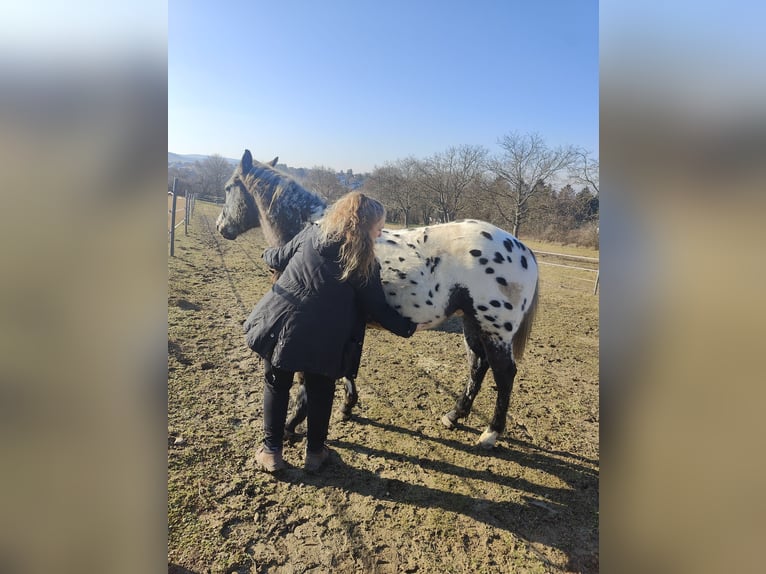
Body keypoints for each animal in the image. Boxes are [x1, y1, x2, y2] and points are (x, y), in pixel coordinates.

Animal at [216, 152, 540, 450]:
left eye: (229, 187)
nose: (221, 228)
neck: (322, 228)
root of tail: (523, 250)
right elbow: (347, 368)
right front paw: (347, 406)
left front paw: (293, 424)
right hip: (471, 322)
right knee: (478, 366)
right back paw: (454, 415)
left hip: (494, 328)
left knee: (504, 374)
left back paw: (490, 434)